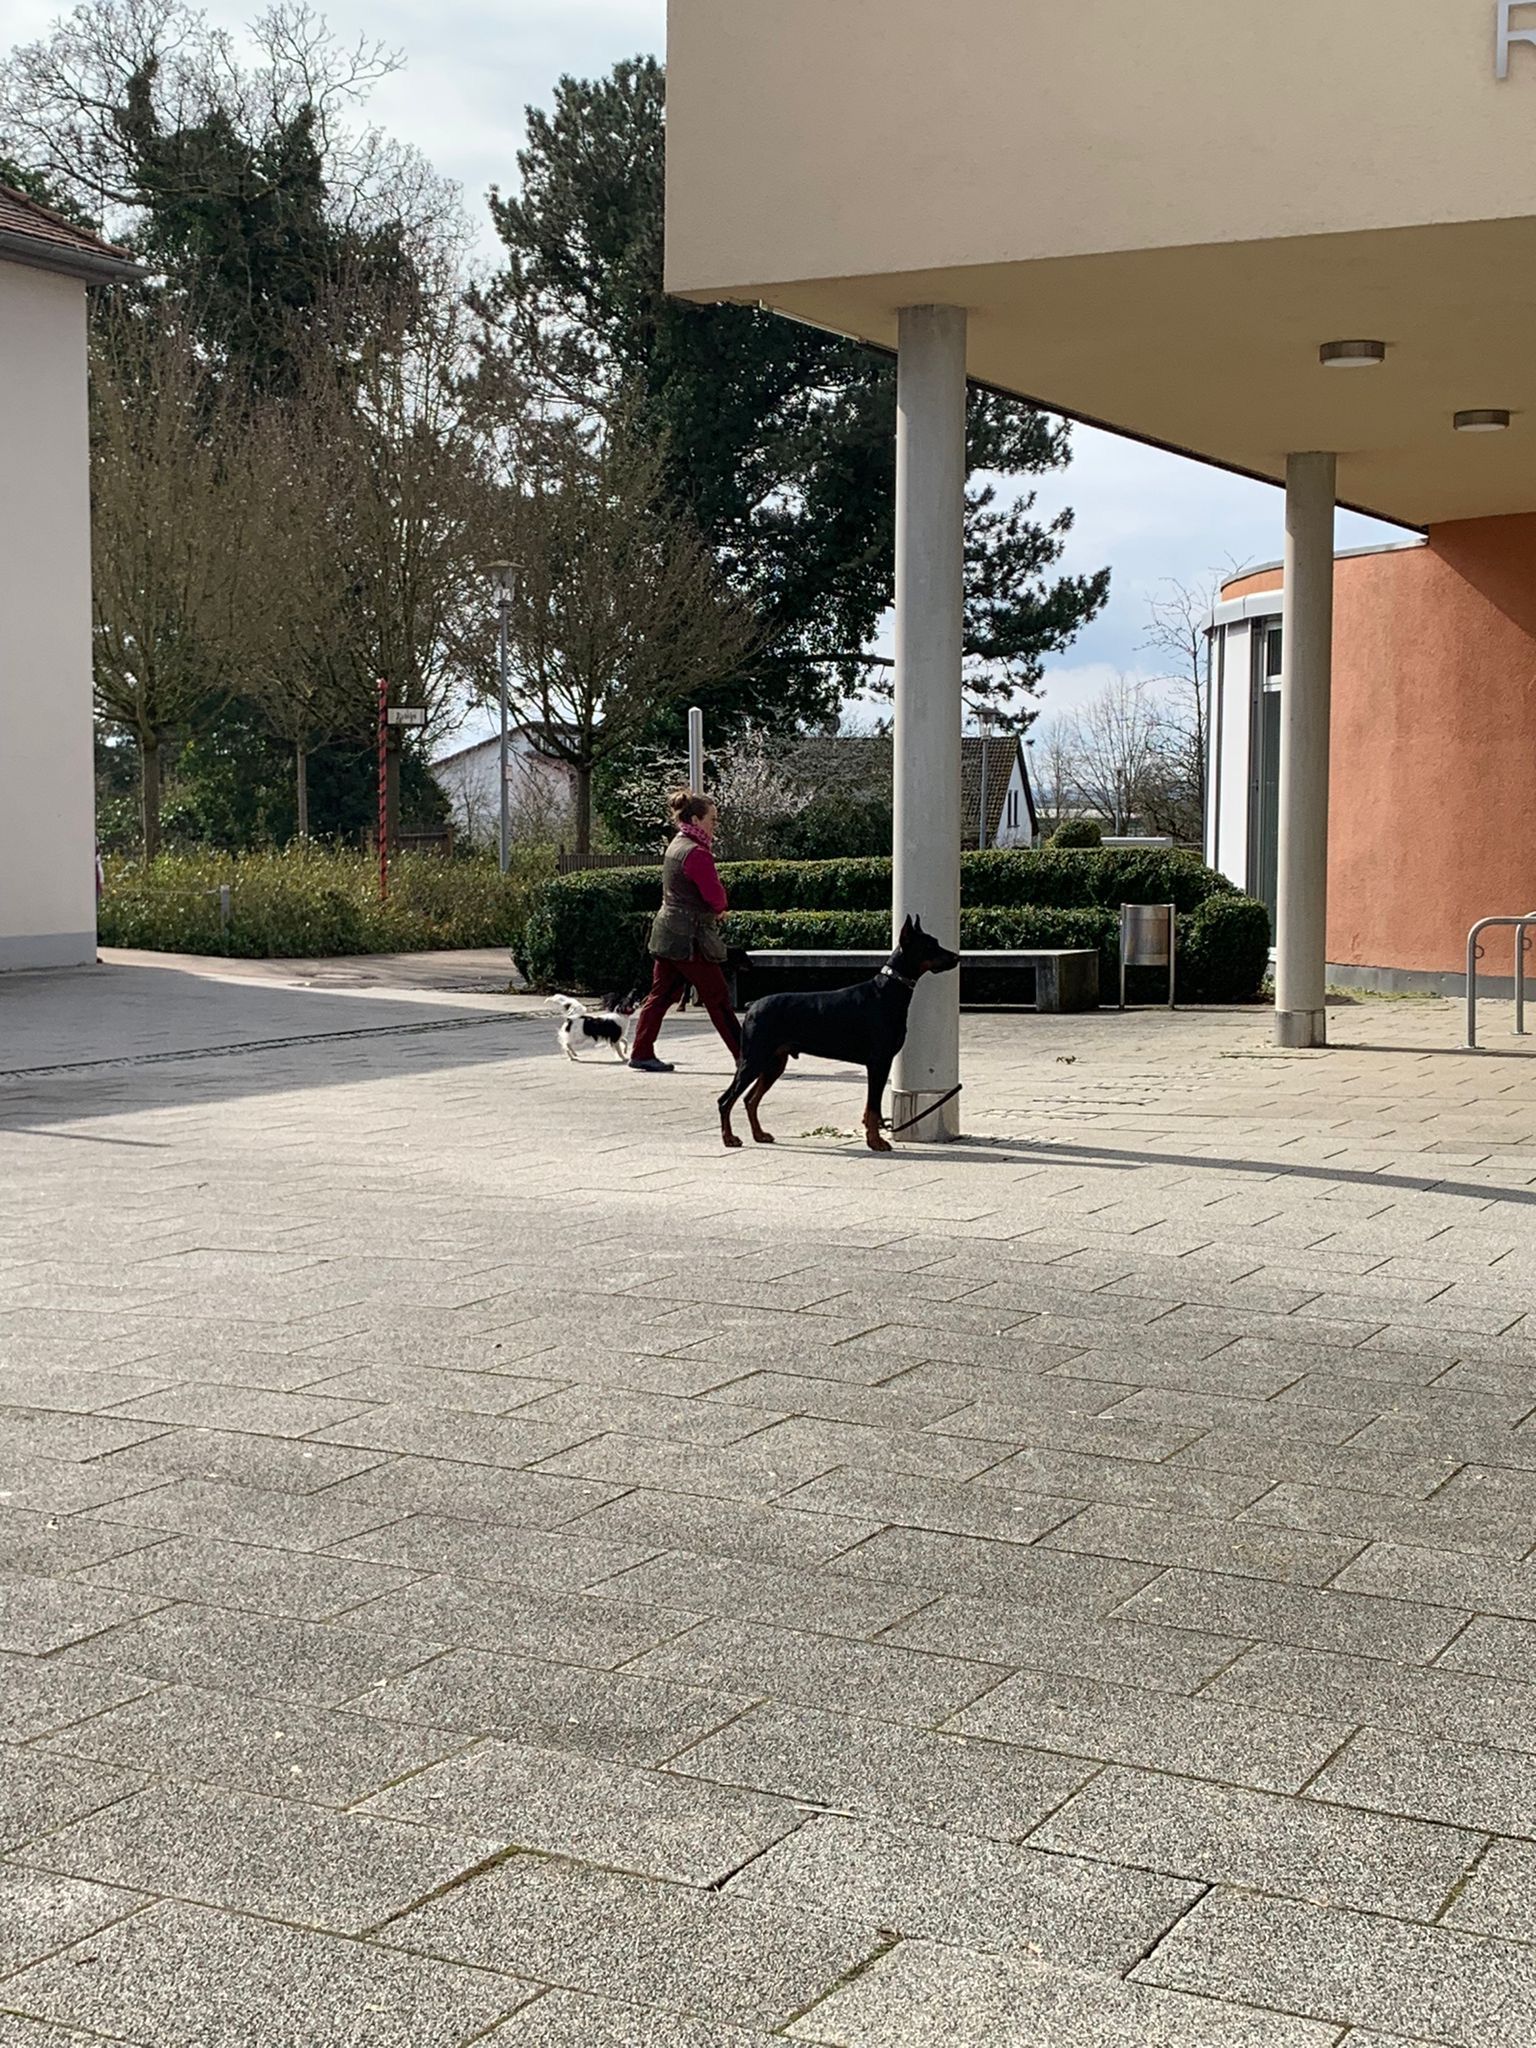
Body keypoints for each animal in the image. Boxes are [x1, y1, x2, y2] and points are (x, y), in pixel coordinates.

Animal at [717, 916, 960, 1153]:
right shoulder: (879, 1062)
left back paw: (759, 1134)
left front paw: (872, 1138)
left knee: (750, 1099)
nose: (956, 957)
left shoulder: (880, 1063)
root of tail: (752, 1006)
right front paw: (876, 1142)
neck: (889, 991)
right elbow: (873, 1107)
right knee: (725, 1100)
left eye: (936, 942)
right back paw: (729, 1138)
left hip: (774, 1063)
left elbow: (870, 1109)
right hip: (753, 1059)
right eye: (930, 946)